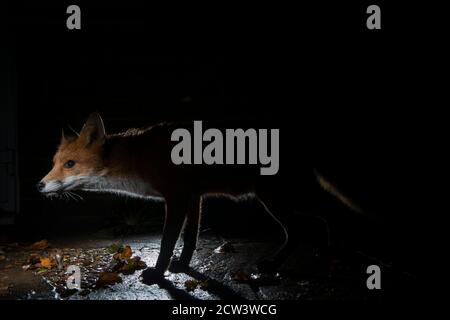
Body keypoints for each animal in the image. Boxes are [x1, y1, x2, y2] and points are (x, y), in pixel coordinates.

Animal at [37, 114, 364, 284]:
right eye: (54, 163)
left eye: (70, 164)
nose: (39, 186)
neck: (137, 161)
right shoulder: (194, 196)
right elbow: (190, 238)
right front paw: (182, 266)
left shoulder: (177, 198)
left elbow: (168, 241)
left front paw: (157, 273)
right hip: (283, 198)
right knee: (322, 217)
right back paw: (328, 251)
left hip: (278, 198)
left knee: (315, 222)